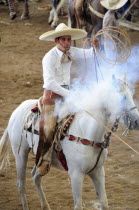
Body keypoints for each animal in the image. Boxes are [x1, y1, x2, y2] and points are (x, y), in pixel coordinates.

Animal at [0, 75, 139, 210]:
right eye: (123, 97)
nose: (136, 121)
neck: (86, 132)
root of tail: (16, 111)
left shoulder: (98, 172)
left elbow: (104, 203)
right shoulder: (76, 175)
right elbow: (78, 206)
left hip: (40, 158)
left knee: (35, 176)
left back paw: (45, 206)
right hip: (20, 154)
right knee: (21, 185)